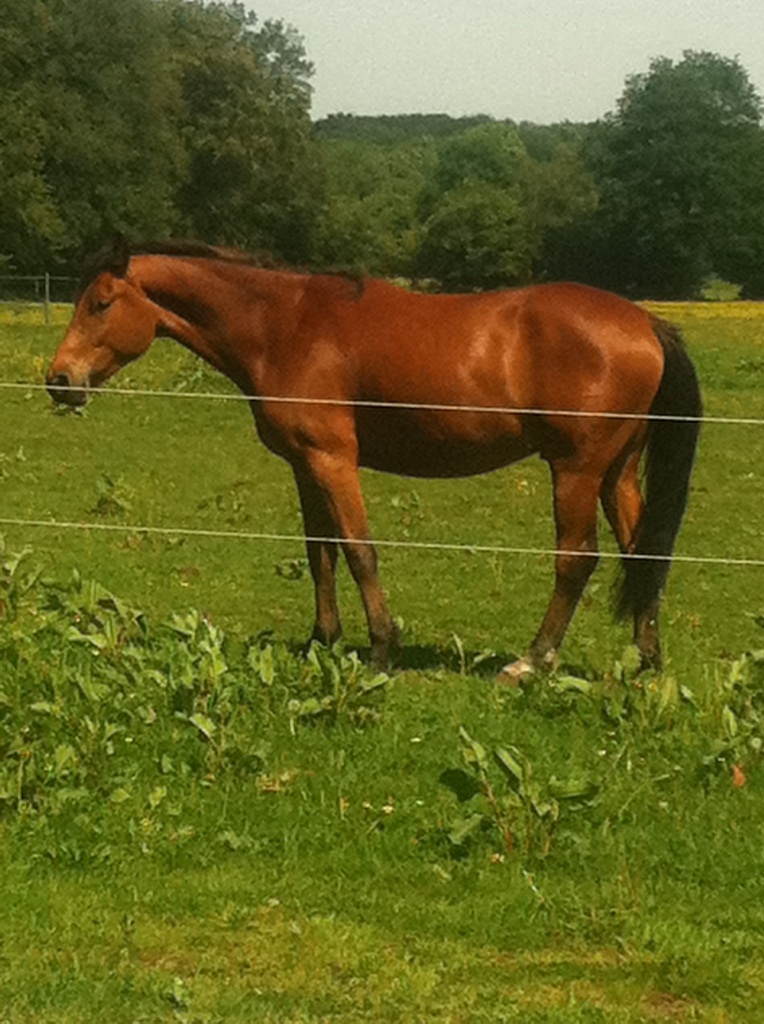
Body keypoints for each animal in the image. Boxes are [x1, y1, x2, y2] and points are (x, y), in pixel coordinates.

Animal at [46, 237, 702, 682]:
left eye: (101, 303)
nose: (59, 380)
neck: (285, 326)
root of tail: (645, 321)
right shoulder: (304, 465)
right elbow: (321, 554)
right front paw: (323, 639)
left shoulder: (333, 459)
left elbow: (360, 551)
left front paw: (382, 647)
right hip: (616, 473)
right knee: (643, 553)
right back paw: (647, 660)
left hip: (575, 471)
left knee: (577, 560)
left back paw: (532, 661)